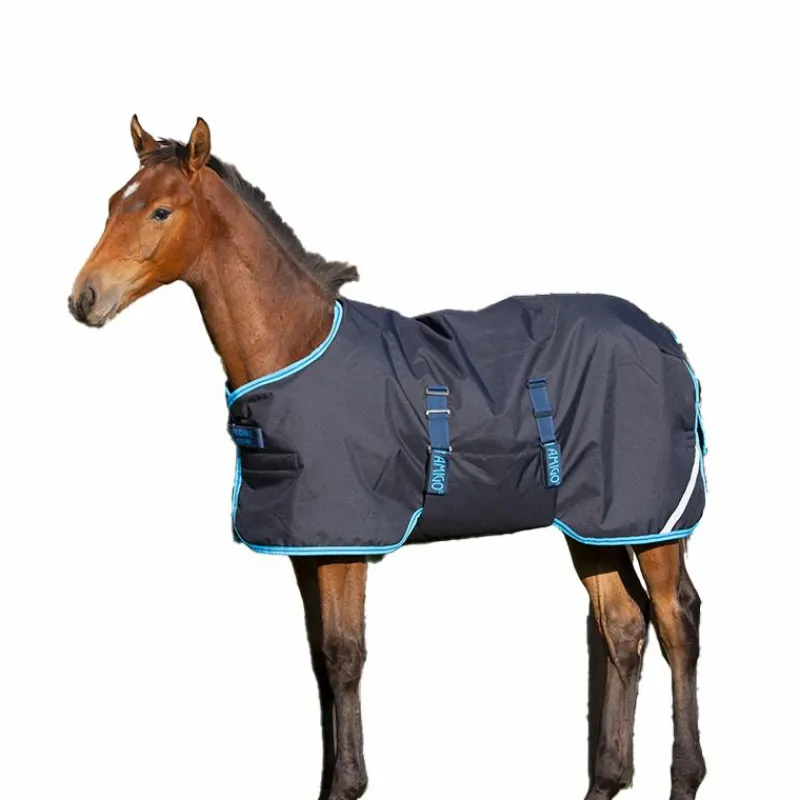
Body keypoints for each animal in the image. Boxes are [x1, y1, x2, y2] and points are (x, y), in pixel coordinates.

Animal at [68, 116, 706, 800]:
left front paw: (347, 784)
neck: (296, 345)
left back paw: (685, 776)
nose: (84, 298)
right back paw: (606, 779)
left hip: (654, 523)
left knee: (675, 625)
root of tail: (665, 337)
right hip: (593, 525)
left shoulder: (347, 546)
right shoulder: (308, 548)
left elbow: (345, 656)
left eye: (160, 210)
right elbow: (319, 661)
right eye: (112, 203)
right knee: (623, 626)